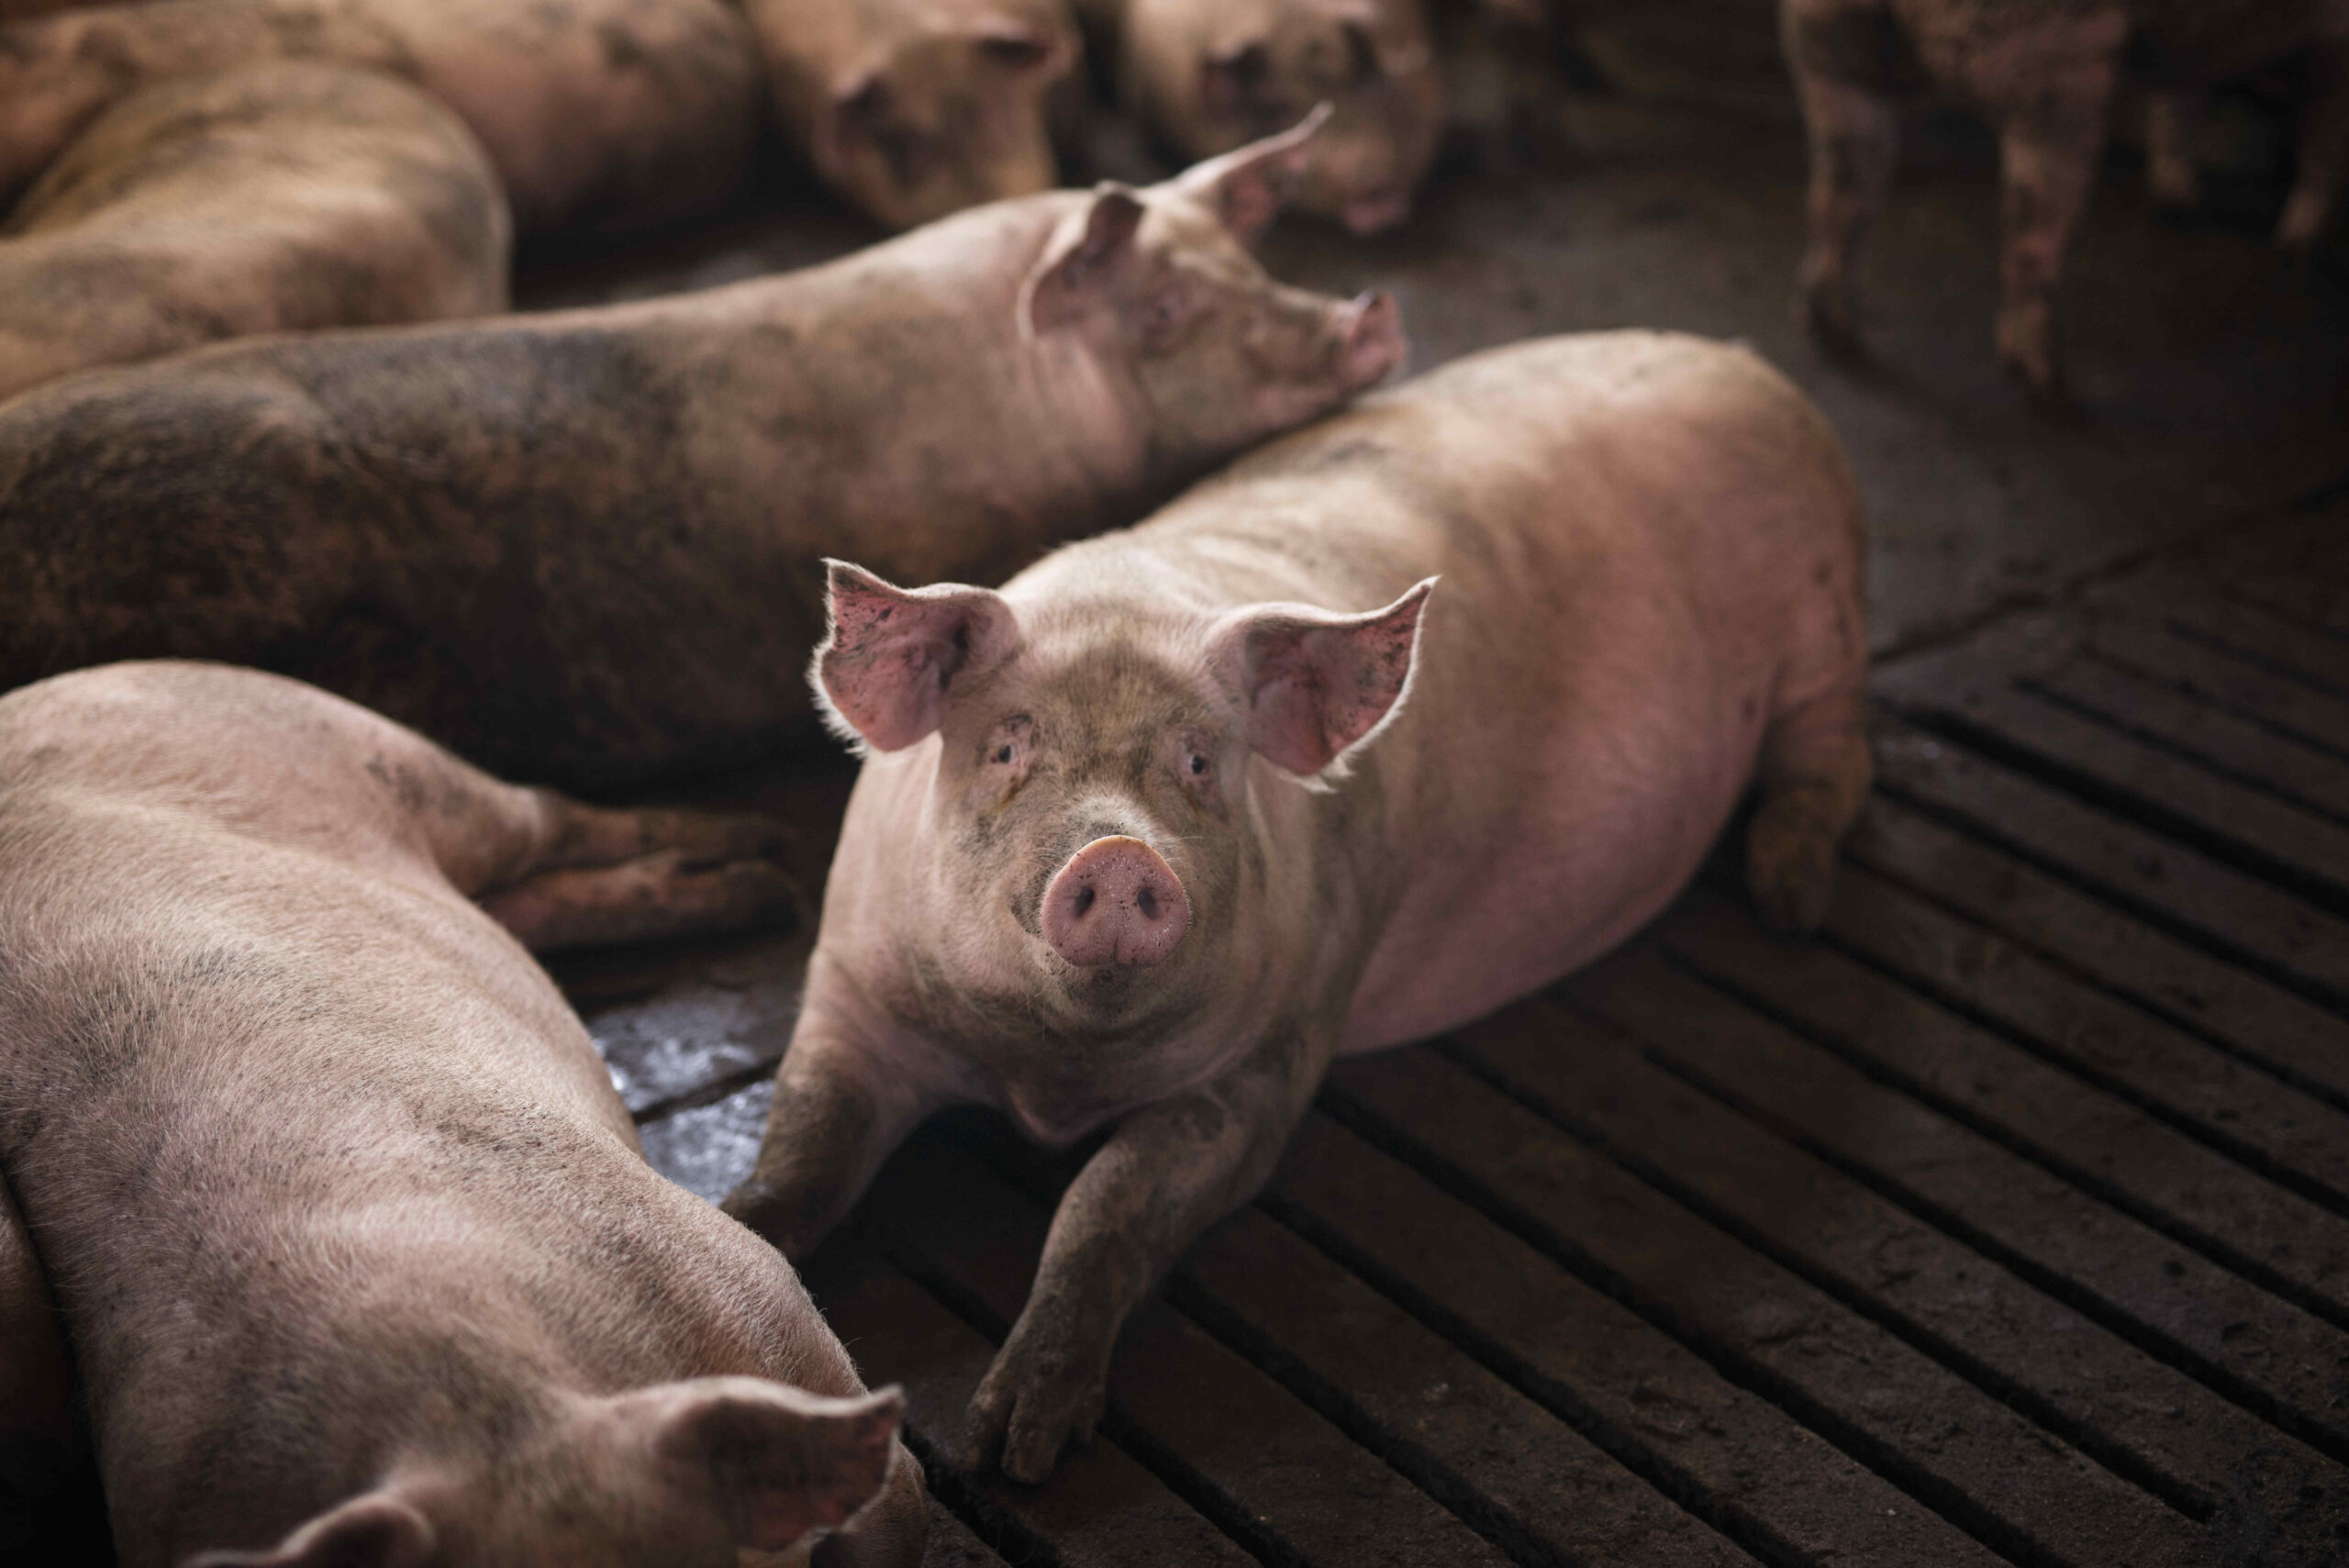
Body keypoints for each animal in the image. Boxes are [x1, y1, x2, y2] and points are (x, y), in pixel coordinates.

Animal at [0, 660, 928, 1565]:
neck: (487, 1403)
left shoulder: (762, 1300)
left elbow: (898, 1492)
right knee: (533, 901)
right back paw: (760, 884)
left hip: (382, 753)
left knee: (550, 814)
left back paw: (765, 860)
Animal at [720, 329, 1873, 1481]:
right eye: (1006, 747)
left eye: (1198, 761)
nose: (1119, 853)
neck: (1047, 1077)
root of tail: (1743, 362)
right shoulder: (849, 989)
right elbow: (804, 1144)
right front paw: (732, 1228)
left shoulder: (1272, 1056)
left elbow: (1103, 1204)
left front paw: (1013, 1449)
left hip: (1825, 618)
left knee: (1831, 754)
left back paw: (1791, 903)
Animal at [1782, 0, 2349, 401]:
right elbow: (2325, 139)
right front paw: (2302, 246)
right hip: (2054, 49)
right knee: (2033, 230)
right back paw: (2044, 377)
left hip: (1833, 34)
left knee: (1843, 186)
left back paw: (1832, 324)